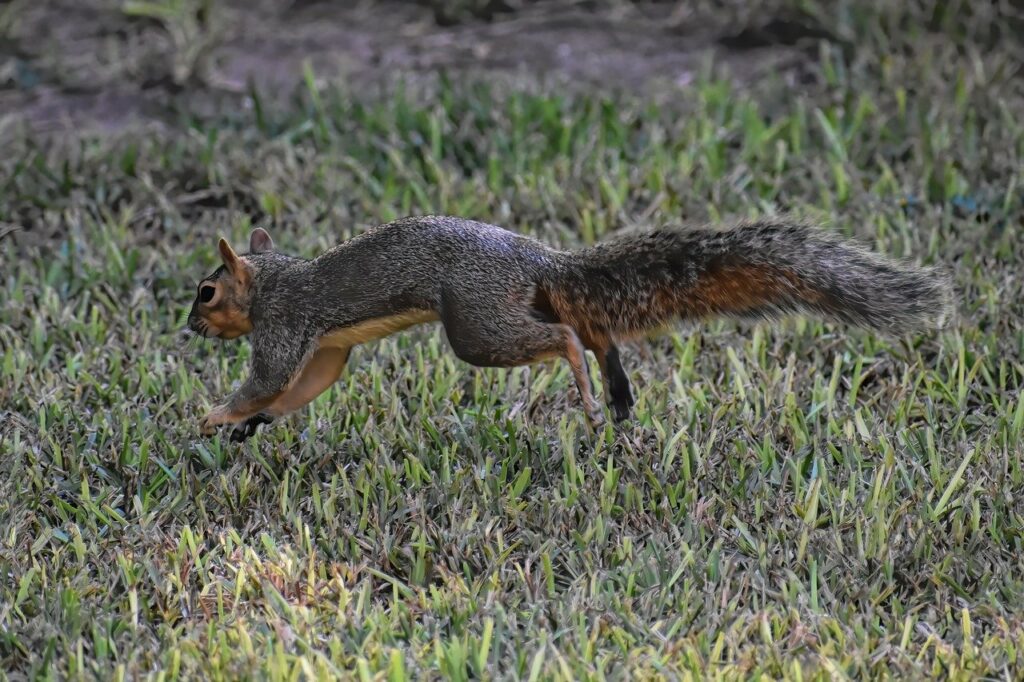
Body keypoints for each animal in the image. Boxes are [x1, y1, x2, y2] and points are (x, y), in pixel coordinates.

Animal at [186, 212, 958, 438]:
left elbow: (268, 377)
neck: (275, 278)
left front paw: (214, 415)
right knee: (590, 328)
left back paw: (589, 393)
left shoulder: (284, 325)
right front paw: (250, 423)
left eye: (206, 292)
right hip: (506, 307)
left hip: (475, 326)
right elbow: (305, 383)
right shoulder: (320, 349)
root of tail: (537, 257)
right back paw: (615, 392)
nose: (189, 330)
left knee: (562, 340)